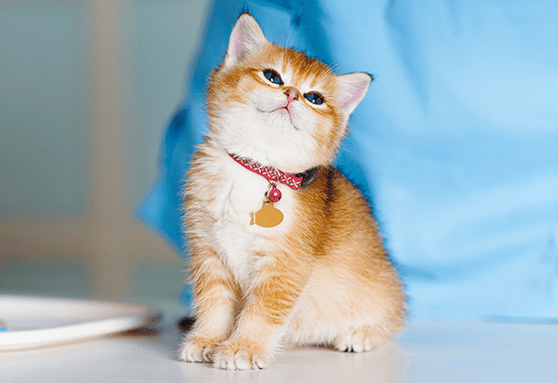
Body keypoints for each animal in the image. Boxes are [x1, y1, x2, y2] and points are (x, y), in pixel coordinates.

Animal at [179, 13, 406, 370]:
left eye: (315, 98)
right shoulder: (208, 252)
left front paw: (243, 347)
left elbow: (263, 309)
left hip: (380, 288)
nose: (292, 94)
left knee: (392, 317)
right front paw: (208, 340)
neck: (256, 167)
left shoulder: (285, 264)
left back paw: (361, 333)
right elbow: (214, 303)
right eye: (272, 76)